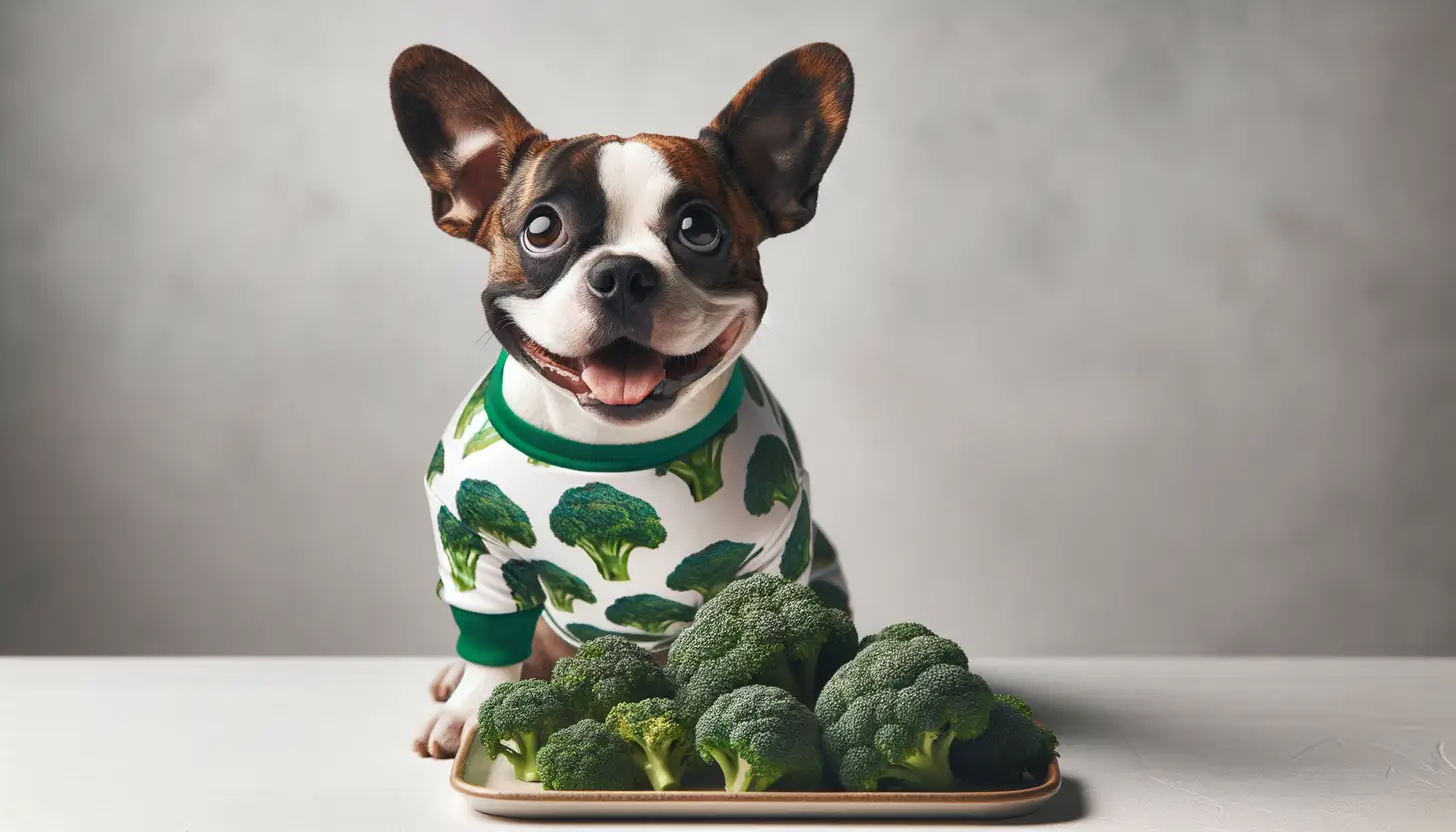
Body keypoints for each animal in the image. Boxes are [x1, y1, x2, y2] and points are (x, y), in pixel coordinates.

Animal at [393, 42, 856, 757]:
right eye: (542, 228)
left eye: (699, 229)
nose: (622, 273)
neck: (612, 443)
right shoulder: (469, 540)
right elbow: (491, 642)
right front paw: (470, 708)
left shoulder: (780, 552)